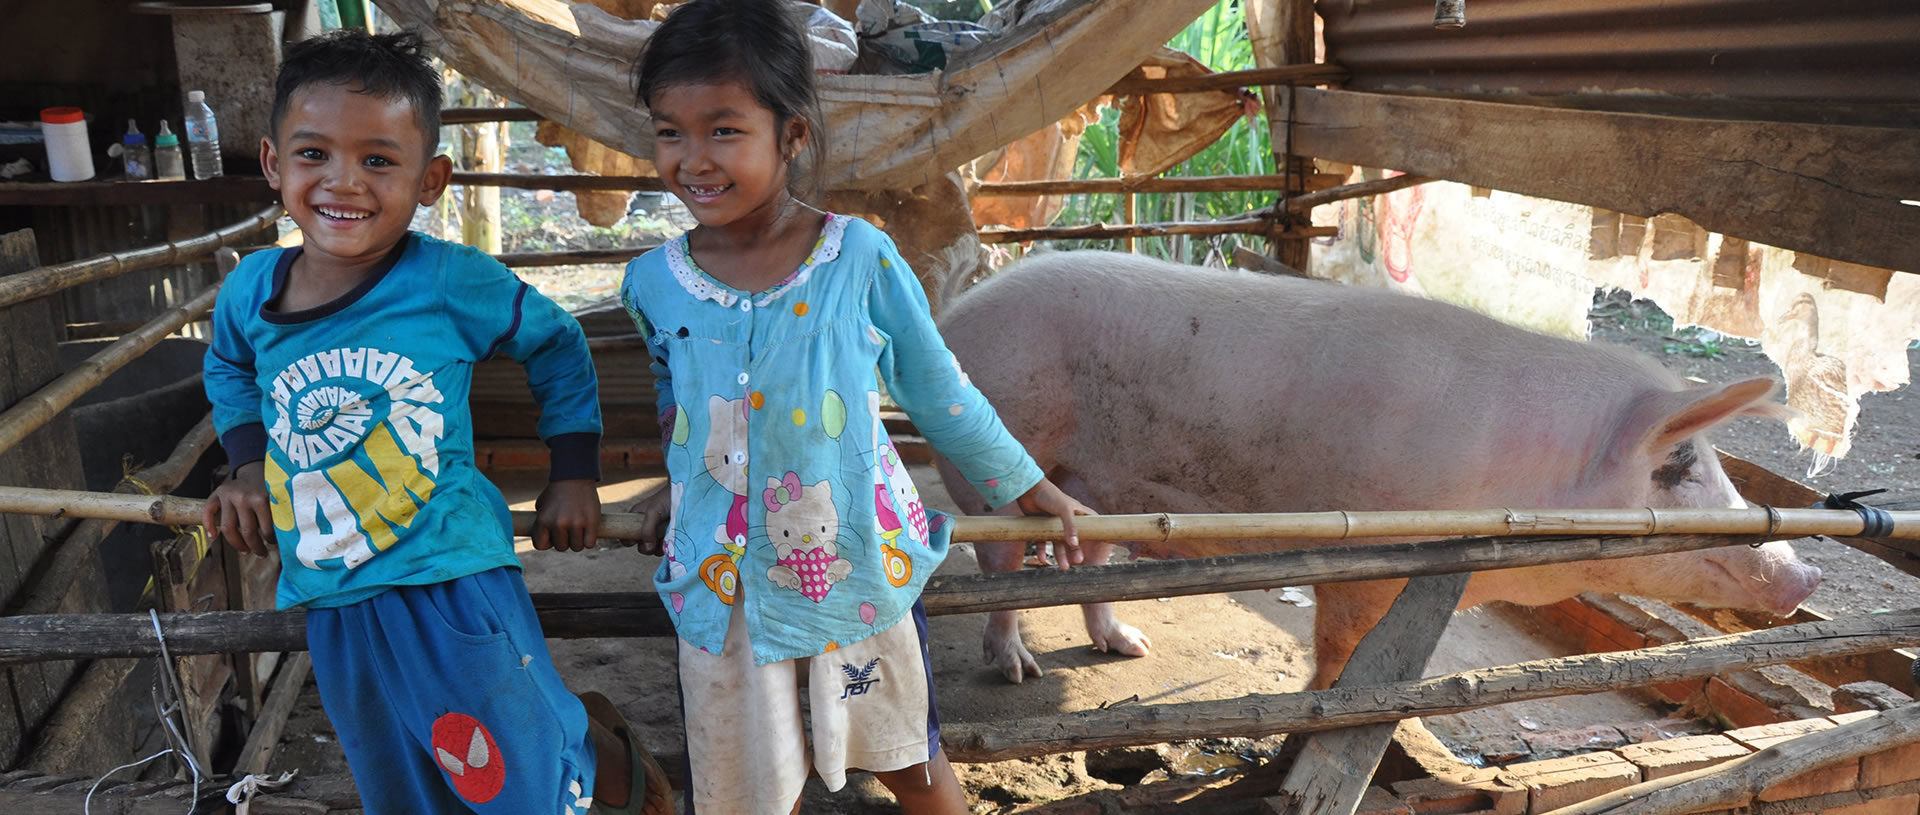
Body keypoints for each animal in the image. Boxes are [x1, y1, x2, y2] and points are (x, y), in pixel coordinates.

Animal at [936, 249, 1820, 688]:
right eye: (1677, 464)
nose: (1806, 572)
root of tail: (959, 310)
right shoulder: (1366, 555)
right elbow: (1341, 652)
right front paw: (1324, 706)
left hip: (1095, 482)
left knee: (1088, 560)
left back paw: (1131, 648)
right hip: (992, 453)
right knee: (1001, 565)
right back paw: (1014, 670)